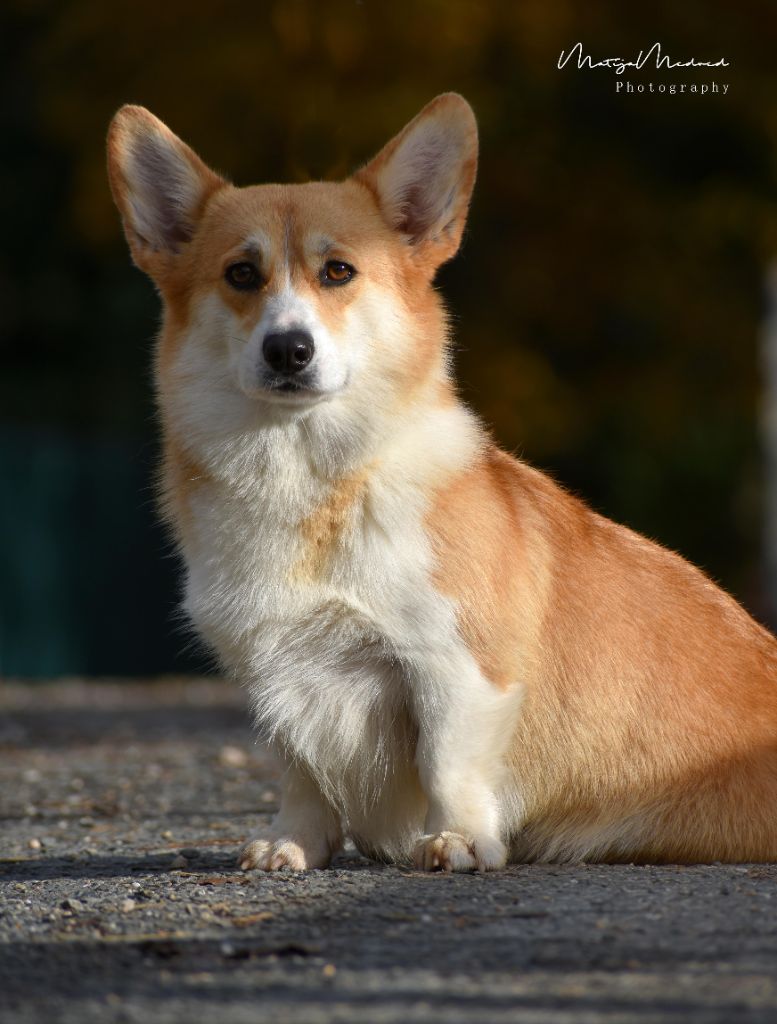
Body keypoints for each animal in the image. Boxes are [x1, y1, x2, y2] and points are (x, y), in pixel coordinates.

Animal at [106, 94, 777, 872]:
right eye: (241, 274)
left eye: (338, 271)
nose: (288, 350)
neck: (311, 480)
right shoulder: (275, 668)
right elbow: (299, 768)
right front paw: (293, 845)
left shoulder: (455, 666)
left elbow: (446, 763)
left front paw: (455, 840)